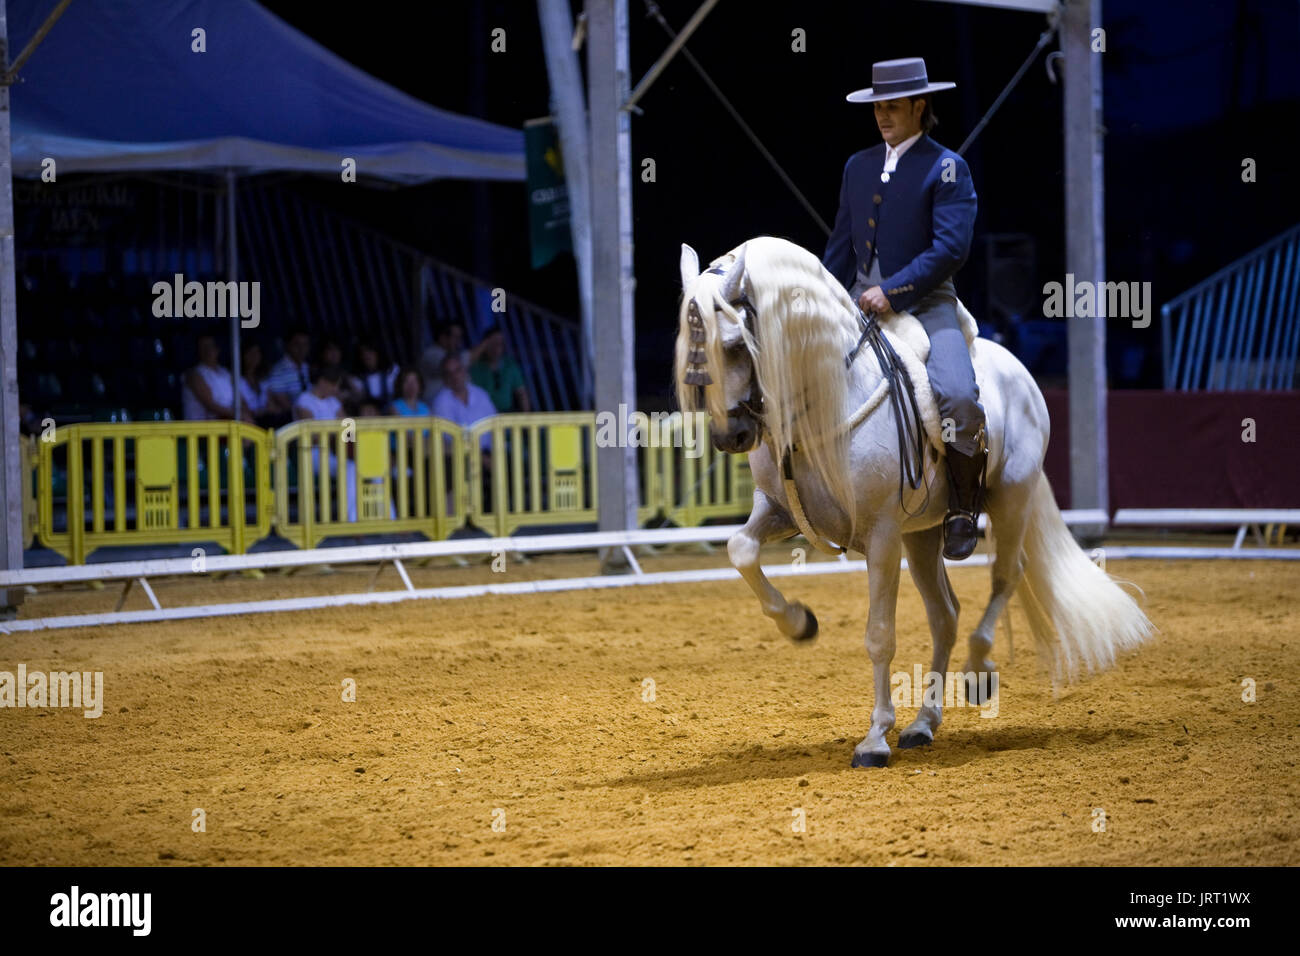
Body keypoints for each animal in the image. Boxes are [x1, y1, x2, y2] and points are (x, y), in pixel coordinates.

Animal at [675, 235, 1152, 768]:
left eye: (735, 345)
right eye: (691, 346)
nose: (730, 437)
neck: (824, 395)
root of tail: (1017, 369)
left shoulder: (881, 536)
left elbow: (879, 634)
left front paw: (874, 739)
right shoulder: (778, 511)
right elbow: (740, 549)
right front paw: (799, 623)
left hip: (1010, 498)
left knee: (1006, 575)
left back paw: (978, 671)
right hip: (923, 534)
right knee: (945, 614)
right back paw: (923, 723)